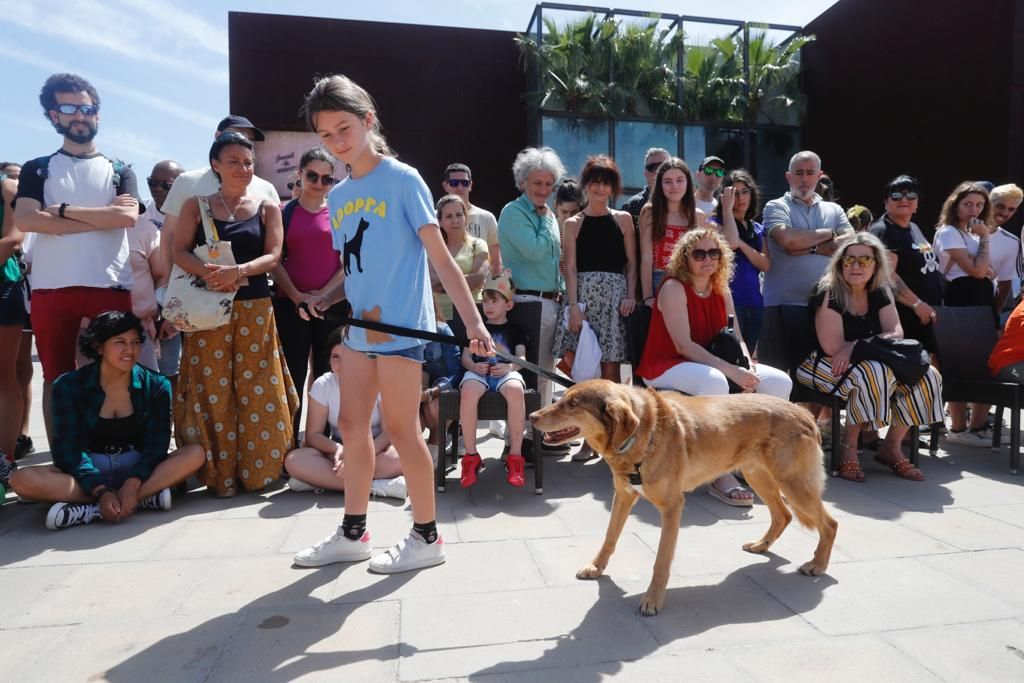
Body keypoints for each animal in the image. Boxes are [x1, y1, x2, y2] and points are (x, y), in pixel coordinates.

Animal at [532, 382, 835, 618]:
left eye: (572, 404)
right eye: (564, 397)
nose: (533, 415)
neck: (643, 434)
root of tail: (804, 412)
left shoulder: (672, 507)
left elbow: (661, 561)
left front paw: (653, 599)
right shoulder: (623, 496)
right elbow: (610, 537)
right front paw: (596, 567)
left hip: (792, 483)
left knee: (829, 524)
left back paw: (817, 565)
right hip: (758, 475)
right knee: (783, 515)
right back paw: (762, 545)